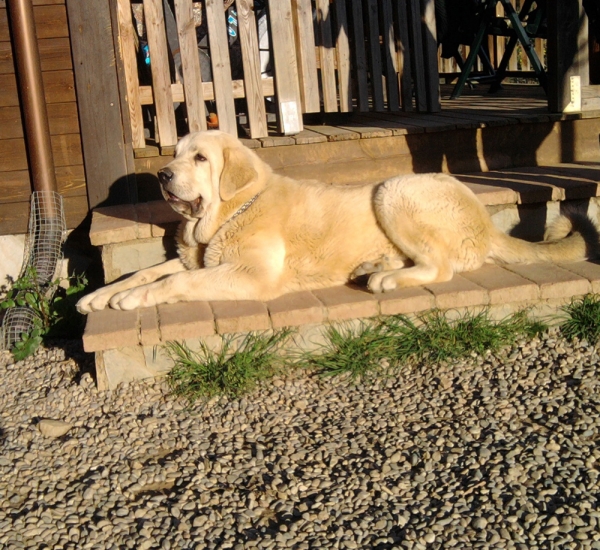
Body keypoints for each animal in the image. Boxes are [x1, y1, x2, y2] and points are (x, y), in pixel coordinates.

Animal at [78, 129, 596, 314]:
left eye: (200, 158)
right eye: (176, 154)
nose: (162, 175)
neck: (228, 212)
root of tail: (486, 221)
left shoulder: (251, 274)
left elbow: (171, 283)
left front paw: (130, 300)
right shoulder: (196, 260)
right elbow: (145, 271)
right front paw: (101, 295)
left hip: (393, 191)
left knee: (442, 266)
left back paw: (385, 278)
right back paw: (374, 266)